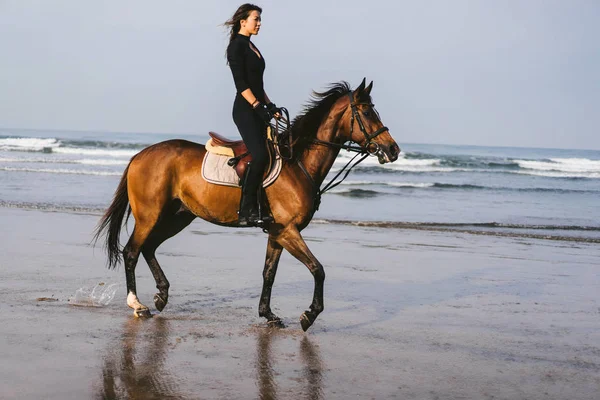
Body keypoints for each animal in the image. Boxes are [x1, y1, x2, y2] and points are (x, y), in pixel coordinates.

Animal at [94, 79, 400, 332]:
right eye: (368, 113)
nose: (393, 150)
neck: (298, 162)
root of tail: (139, 155)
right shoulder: (288, 231)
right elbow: (318, 269)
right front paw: (309, 315)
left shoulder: (277, 233)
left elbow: (269, 273)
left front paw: (269, 314)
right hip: (150, 216)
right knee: (132, 251)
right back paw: (138, 305)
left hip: (178, 216)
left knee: (149, 248)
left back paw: (162, 295)